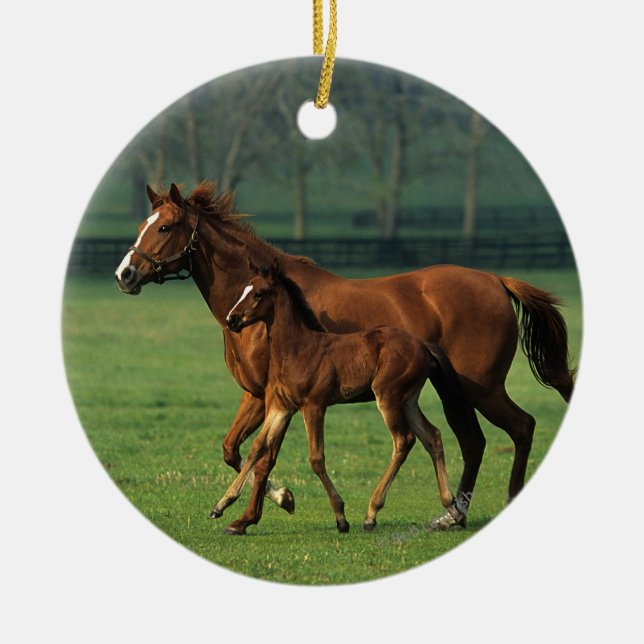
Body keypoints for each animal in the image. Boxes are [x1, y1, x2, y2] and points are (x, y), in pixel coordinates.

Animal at [209, 257, 464, 534]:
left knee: (403, 441)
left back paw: (371, 514)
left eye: (259, 293)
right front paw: (222, 506)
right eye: (244, 288)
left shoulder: (314, 406)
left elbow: (316, 458)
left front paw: (341, 517)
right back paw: (452, 508)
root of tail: (422, 345)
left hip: (388, 397)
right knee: (432, 436)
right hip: (408, 400)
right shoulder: (281, 407)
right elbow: (257, 448)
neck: (297, 348)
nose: (232, 319)